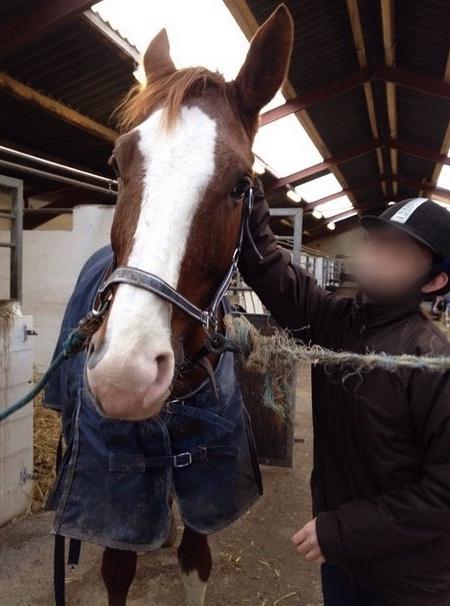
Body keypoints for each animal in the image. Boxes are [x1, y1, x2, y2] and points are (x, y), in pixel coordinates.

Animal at [44, 5, 294, 606]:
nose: (124, 376)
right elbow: (117, 570)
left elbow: (195, 559)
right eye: (116, 164)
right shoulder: (119, 500)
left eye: (242, 184)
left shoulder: (211, 485)